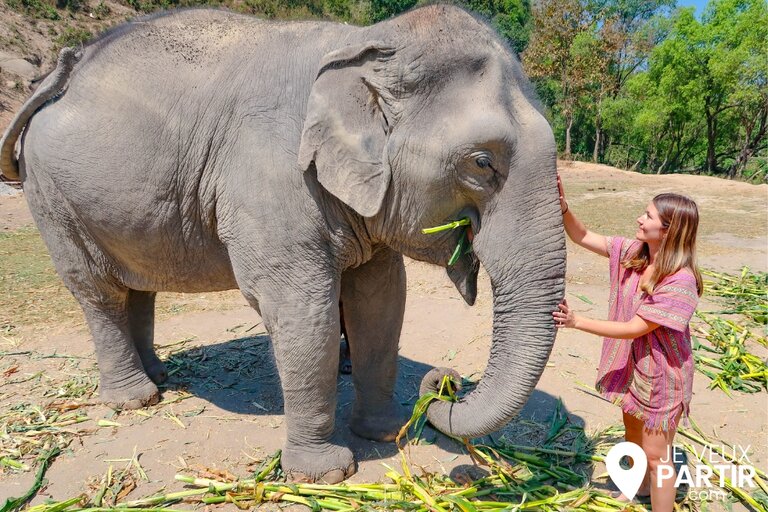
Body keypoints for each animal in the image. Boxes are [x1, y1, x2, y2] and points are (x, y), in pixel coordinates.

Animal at [0, 5, 564, 484]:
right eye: (482, 163)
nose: (445, 382)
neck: (366, 42)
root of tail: (63, 70)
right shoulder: (270, 175)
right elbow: (303, 308)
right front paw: (327, 474)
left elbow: (381, 300)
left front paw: (387, 433)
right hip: (51, 196)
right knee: (98, 292)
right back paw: (135, 400)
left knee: (138, 286)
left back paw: (160, 376)